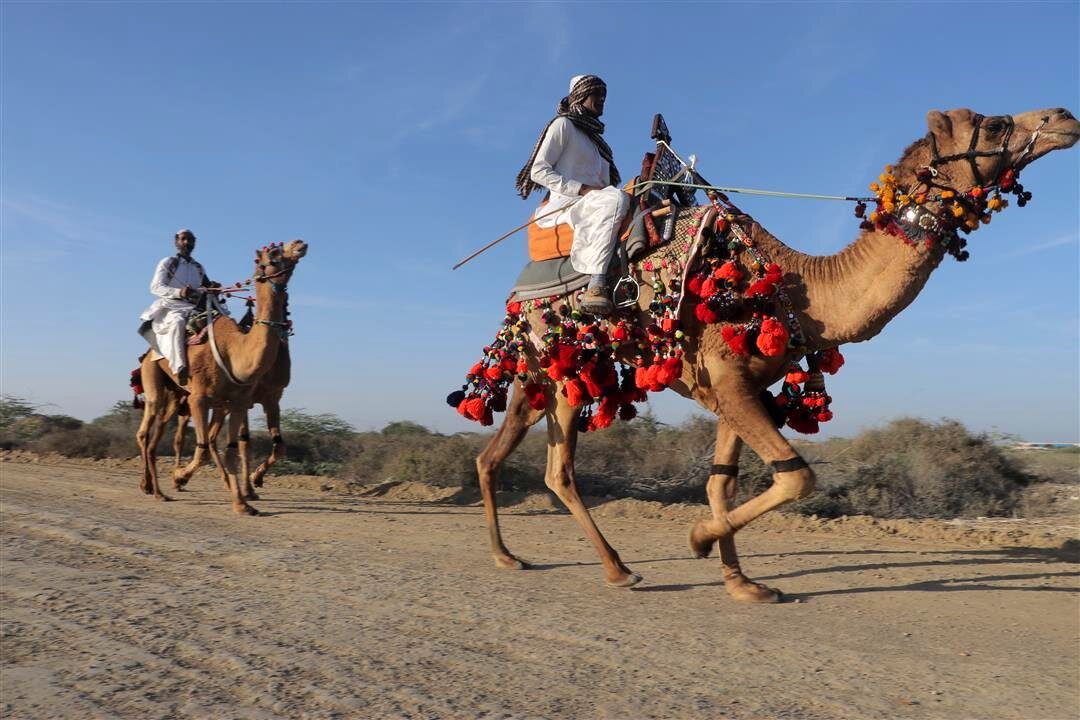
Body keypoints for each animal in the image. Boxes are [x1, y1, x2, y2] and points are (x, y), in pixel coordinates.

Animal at [136, 239, 308, 515]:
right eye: (273, 253)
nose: (299, 243)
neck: (235, 351)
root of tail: (148, 353)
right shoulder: (200, 398)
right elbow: (208, 449)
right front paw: (179, 476)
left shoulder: (249, 400)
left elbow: (235, 449)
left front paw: (243, 501)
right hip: (155, 379)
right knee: (148, 431)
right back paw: (158, 490)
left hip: (179, 395)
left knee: (158, 436)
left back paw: (155, 487)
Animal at [457, 108, 1080, 604]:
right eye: (995, 124)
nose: (1063, 116)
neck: (798, 287)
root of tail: (519, 293)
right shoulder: (725, 377)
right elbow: (797, 477)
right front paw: (697, 540)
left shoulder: (738, 385)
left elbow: (721, 484)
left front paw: (743, 582)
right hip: (561, 367)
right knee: (557, 469)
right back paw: (614, 569)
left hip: (546, 373)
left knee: (501, 454)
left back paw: (509, 555)